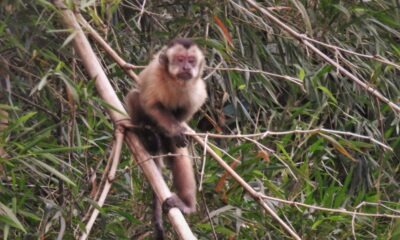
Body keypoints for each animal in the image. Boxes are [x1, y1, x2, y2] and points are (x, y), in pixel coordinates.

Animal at [124, 38, 206, 239]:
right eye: (180, 59)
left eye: (191, 60)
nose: (186, 67)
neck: (177, 83)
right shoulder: (155, 75)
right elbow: (152, 105)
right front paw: (175, 130)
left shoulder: (198, 90)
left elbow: (183, 114)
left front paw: (177, 129)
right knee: (135, 97)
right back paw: (148, 134)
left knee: (179, 156)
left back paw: (186, 205)